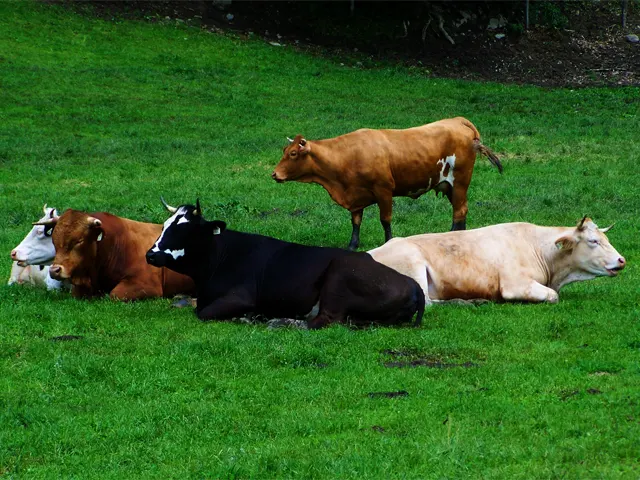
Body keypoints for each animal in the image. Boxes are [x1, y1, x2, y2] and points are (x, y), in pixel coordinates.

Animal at [146, 199, 424, 330]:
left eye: (185, 231)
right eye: (164, 225)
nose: (150, 254)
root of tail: (412, 284)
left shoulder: (240, 297)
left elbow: (202, 313)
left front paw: (248, 317)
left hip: (338, 278)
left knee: (323, 321)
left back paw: (280, 322)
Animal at [272, 117, 502, 249]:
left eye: (293, 154)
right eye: (284, 151)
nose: (274, 174)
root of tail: (458, 120)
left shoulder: (383, 190)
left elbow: (385, 220)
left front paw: (388, 242)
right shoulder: (356, 196)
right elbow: (356, 221)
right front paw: (352, 245)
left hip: (460, 181)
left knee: (459, 211)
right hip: (450, 186)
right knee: (461, 210)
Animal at [370, 218, 624, 304]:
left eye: (606, 238)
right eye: (593, 241)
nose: (622, 260)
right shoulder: (515, 284)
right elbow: (553, 296)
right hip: (413, 266)